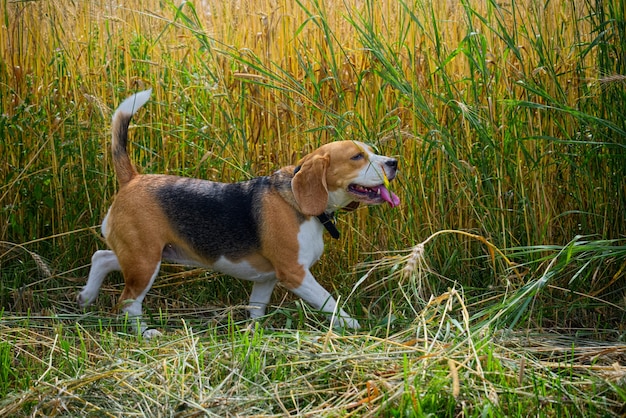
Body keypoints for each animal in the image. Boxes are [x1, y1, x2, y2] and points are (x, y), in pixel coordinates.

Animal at [77, 90, 400, 338]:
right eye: (357, 157)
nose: (394, 162)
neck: (296, 200)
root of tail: (133, 178)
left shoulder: (267, 279)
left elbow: (257, 310)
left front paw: (253, 336)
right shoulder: (295, 274)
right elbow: (329, 301)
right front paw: (352, 324)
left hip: (144, 254)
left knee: (102, 257)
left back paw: (86, 296)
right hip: (145, 260)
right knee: (128, 301)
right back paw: (144, 333)